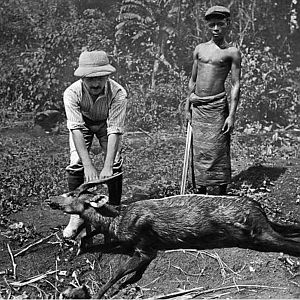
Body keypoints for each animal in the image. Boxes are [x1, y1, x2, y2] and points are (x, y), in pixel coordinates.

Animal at [47, 176, 300, 298]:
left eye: (72, 194)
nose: (51, 200)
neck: (117, 221)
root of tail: (258, 207)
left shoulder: (145, 248)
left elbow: (117, 273)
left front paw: (98, 293)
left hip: (259, 234)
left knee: (291, 243)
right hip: (267, 228)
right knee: (292, 228)